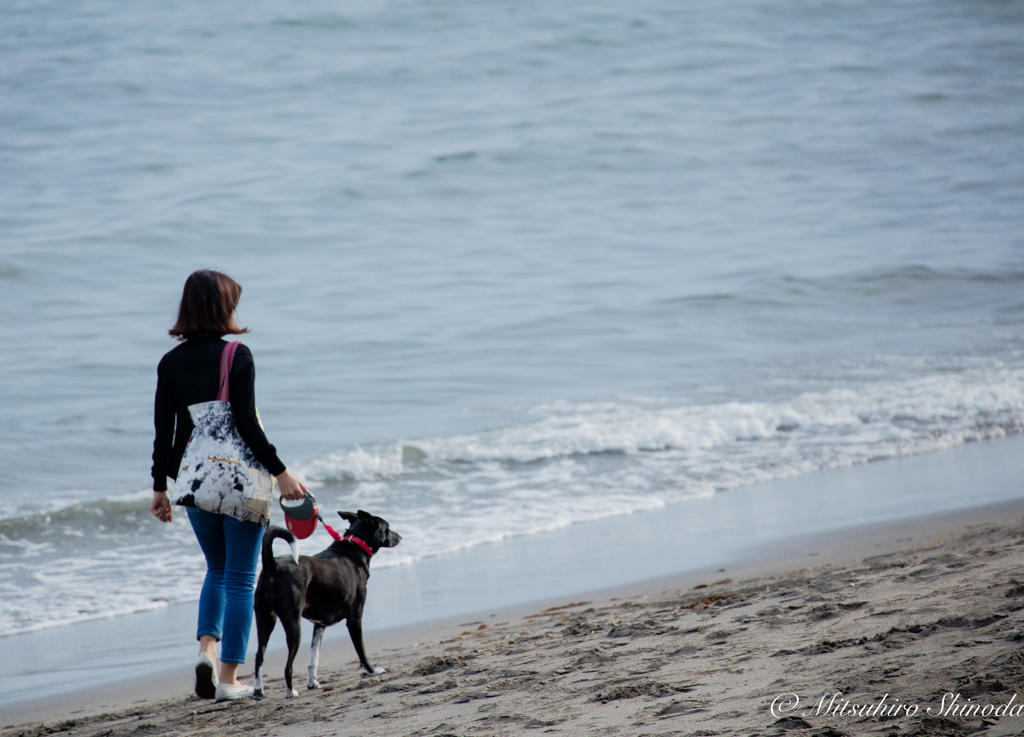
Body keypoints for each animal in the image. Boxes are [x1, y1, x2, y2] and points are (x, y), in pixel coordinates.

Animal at [253, 509, 401, 700]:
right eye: (387, 528)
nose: (400, 537)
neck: (355, 546)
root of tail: (273, 565)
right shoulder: (354, 620)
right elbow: (361, 650)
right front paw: (372, 670)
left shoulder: (319, 625)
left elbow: (313, 658)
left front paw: (312, 683)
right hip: (293, 624)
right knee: (287, 666)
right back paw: (290, 692)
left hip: (264, 619)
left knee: (259, 655)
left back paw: (258, 690)